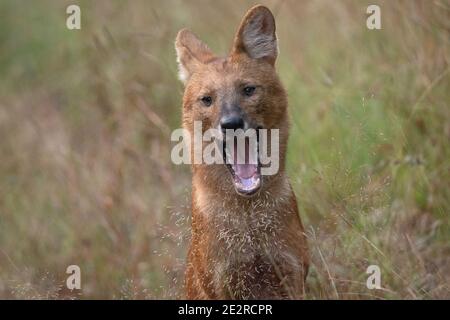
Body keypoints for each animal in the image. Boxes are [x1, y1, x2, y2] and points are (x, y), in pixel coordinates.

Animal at [176, 5, 310, 300]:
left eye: (248, 90)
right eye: (207, 99)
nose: (231, 123)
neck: (248, 219)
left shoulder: (291, 272)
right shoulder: (222, 283)